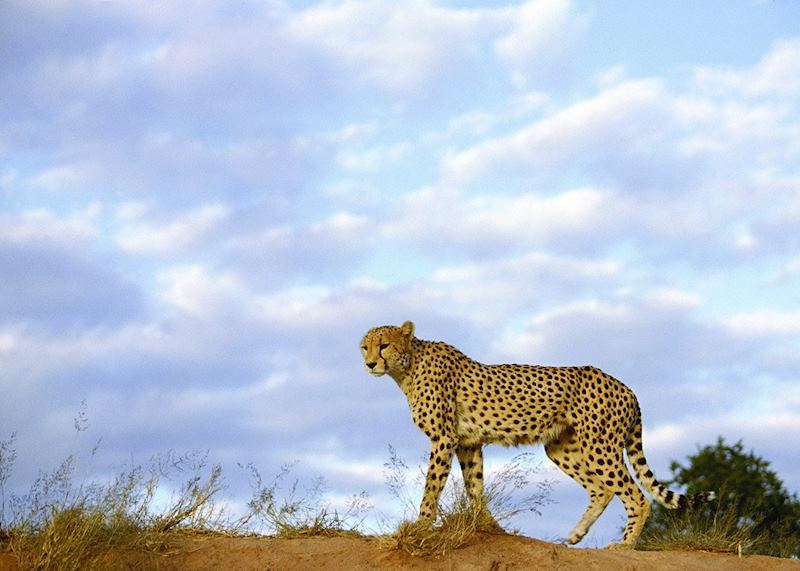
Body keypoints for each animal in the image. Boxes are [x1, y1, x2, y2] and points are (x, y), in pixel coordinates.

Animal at [360, 320, 713, 548]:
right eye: (365, 347)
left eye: (384, 345)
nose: (369, 363)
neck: (407, 367)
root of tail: (627, 387)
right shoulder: (468, 444)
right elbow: (475, 487)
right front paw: (488, 527)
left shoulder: (444, 439)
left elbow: (432, 487)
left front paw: (420, 526)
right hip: (562, 448)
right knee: (601, 489)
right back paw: (575, 535)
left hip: (599, 446)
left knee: (636, 495)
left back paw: (624, 546)